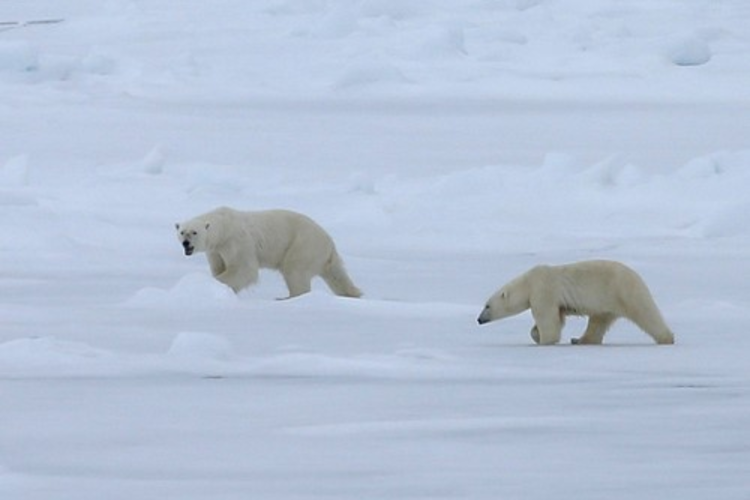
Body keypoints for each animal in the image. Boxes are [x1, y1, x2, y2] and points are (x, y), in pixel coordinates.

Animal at [176, 207, 362, 299]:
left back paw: (288, 298)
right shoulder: (216, 251)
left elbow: (244, 269)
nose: (186, 243)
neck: (225, 226)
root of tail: (329, 242)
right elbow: (219, 267)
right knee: (337, 275)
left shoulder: (237, 242)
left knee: (295, 271)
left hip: (303, 245)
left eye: (194, 232)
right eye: (182, 232)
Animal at [476, 260, 675, 345]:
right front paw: (536, 335)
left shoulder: (543, 290)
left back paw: (667, 338)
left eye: (487, 305)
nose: (479, 319)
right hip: (606, 302)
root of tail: (637, 276)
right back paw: (579, 340)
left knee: (645, 312)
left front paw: (545, 340)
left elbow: (548, 319)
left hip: (622, 290)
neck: (527, 282)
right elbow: (558, 318)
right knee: (598, 321)